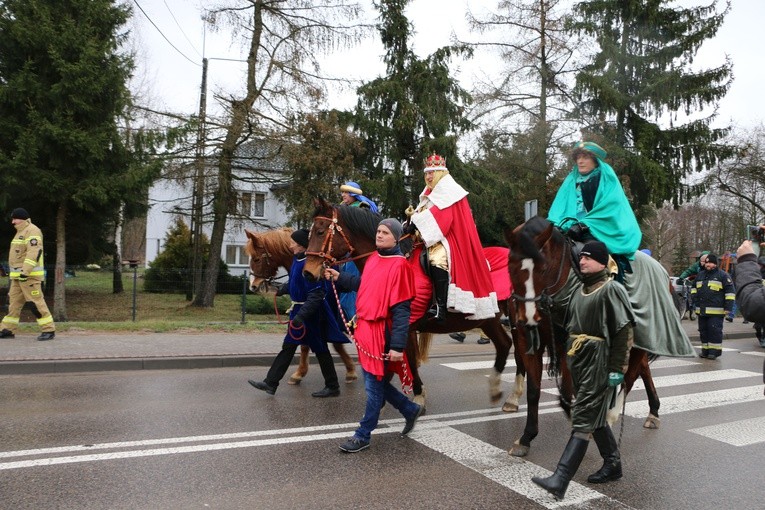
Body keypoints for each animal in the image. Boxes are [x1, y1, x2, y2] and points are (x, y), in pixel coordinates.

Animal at [245, 227, 358, 382]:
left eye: (256, 259)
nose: (252, 286)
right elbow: (307, 344)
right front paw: (300, 372)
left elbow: (332, 344)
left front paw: (351, 370)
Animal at [302, 197, 510, 408]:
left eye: (320, 232)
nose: (308, 273)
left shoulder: (407, 326)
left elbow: (408, 359)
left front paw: (417, 395)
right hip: (489, 320)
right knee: (505, 345)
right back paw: (500, 392)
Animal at [504, 216, 696, 458]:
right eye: (510, 266)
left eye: (543, 267)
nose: (528, 316)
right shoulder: (527, 341)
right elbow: (534, 392)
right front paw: (526, 437)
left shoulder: (571, 341)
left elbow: (569, 390)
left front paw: (579, 423)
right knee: (642, 368)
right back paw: (653, 412)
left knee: (631, 376)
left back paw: (612, 415)